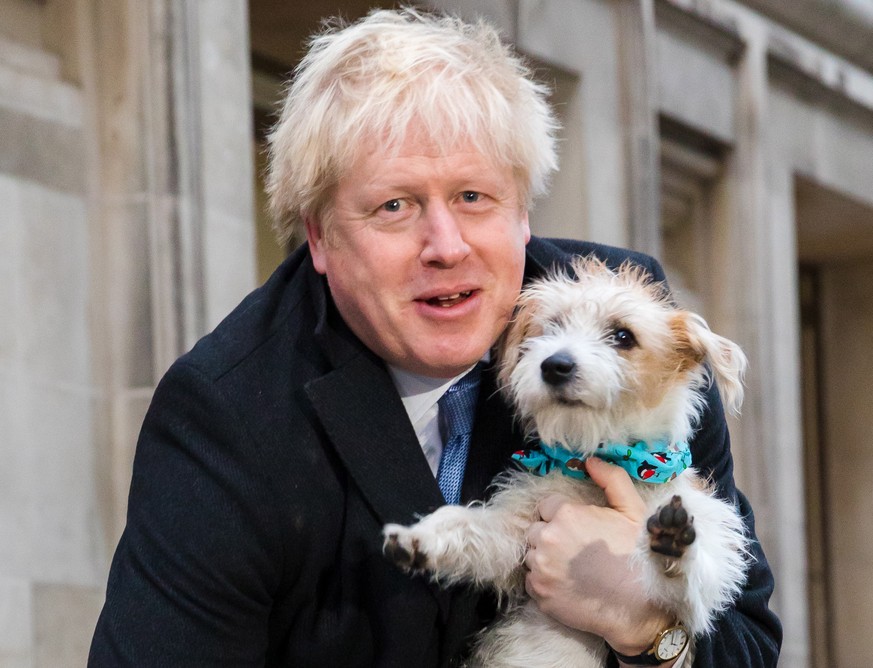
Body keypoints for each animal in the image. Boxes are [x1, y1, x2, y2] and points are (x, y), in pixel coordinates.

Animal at [382, 254, 748, 664]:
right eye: (553, 326)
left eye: (623, 336)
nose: (554, 365)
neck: (603, 459)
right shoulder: (514, 534)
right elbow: (464, 524)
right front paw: (420, 537)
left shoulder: (703, 586)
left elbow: (686, 583)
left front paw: (672, 545)